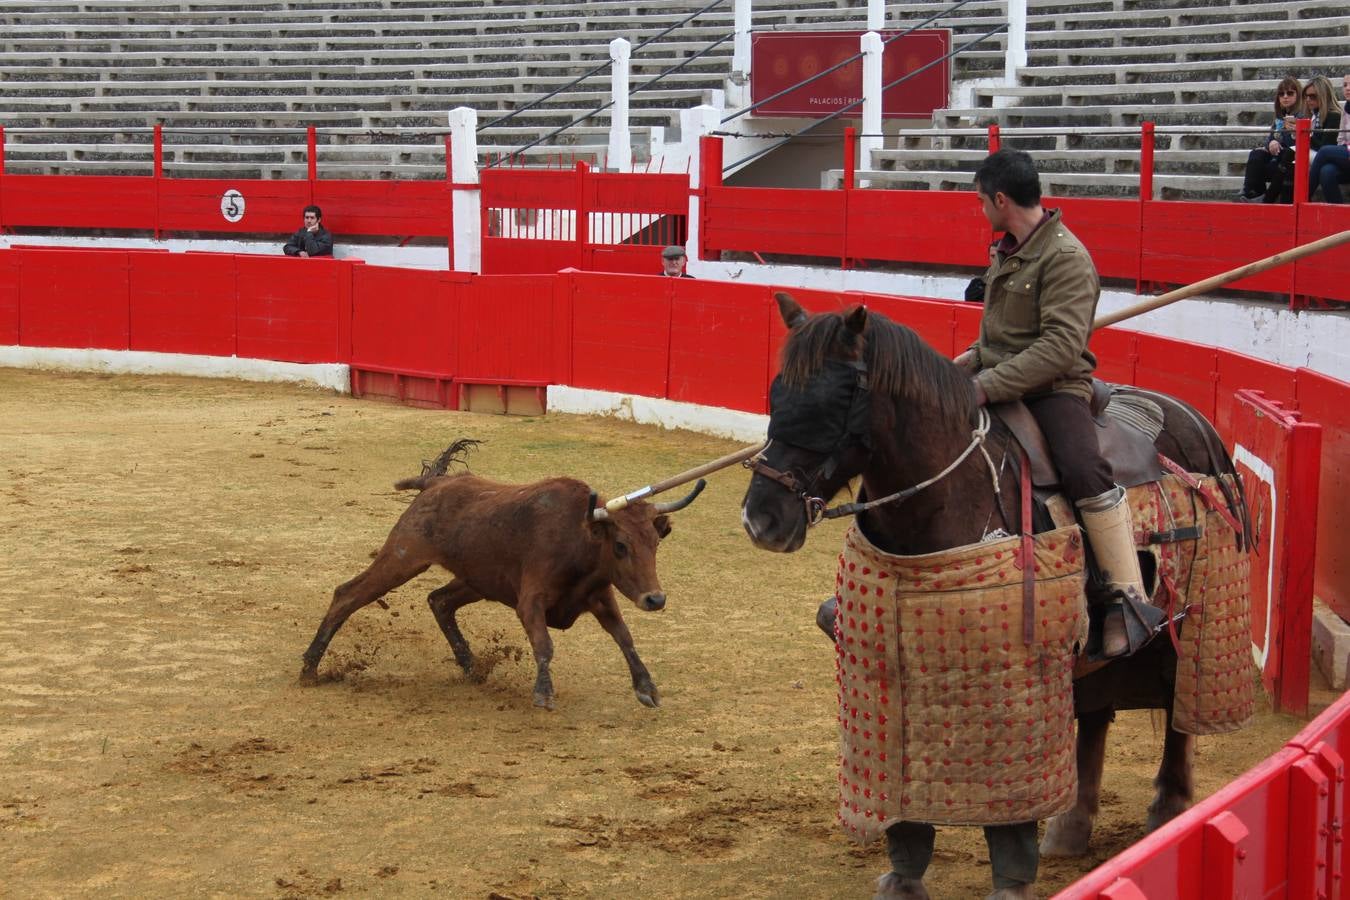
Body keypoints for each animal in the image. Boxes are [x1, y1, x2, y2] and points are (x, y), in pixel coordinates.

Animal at [299, 442, 702, 712]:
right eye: (620, 545)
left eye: (655, 541)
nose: (655, 599)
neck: (580, 537)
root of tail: (437, 484)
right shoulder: (531, 600)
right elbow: (544, 644)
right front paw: (543, 693)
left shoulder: (601, 597)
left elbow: (624, 637)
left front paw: (646, 688)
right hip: (403, 557)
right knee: (348, 595)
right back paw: (309, 670)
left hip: (480, 579)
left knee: (439, 601)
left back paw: (471, 666)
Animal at [739, 292, 1252, 895]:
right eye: (777, 393)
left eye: (838, 399)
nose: (762, 520)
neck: (944, 494)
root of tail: (1196, 422)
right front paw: (904, 873)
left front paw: (1010, 878)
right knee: (1096, 712)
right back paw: (1070, 826)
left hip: (1188, 617)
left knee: (1176, 702)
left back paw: (1168, 809)